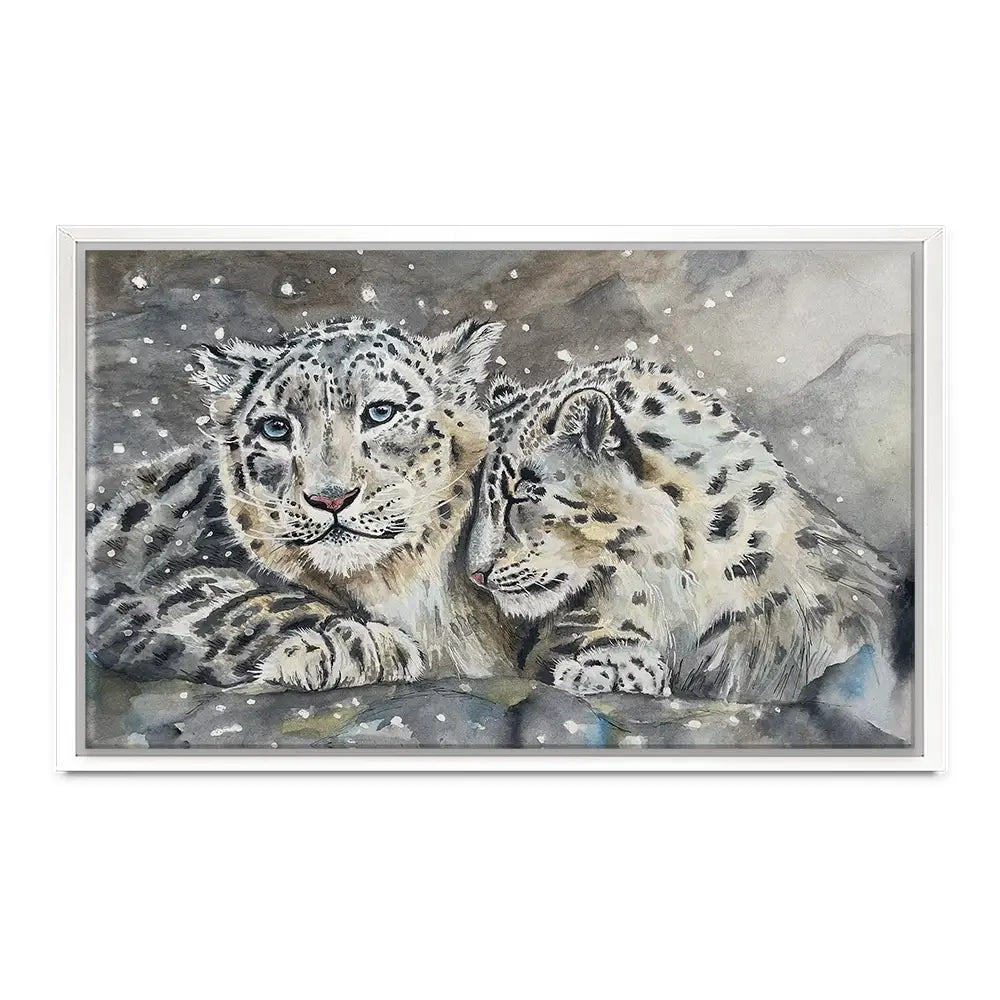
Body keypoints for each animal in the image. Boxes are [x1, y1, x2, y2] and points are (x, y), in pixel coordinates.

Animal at [87, 316, 520, 691]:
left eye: (381, 412)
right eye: (276, 428)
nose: (330, 497)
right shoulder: (145, 581)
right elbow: (240, 602)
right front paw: (355, 643)